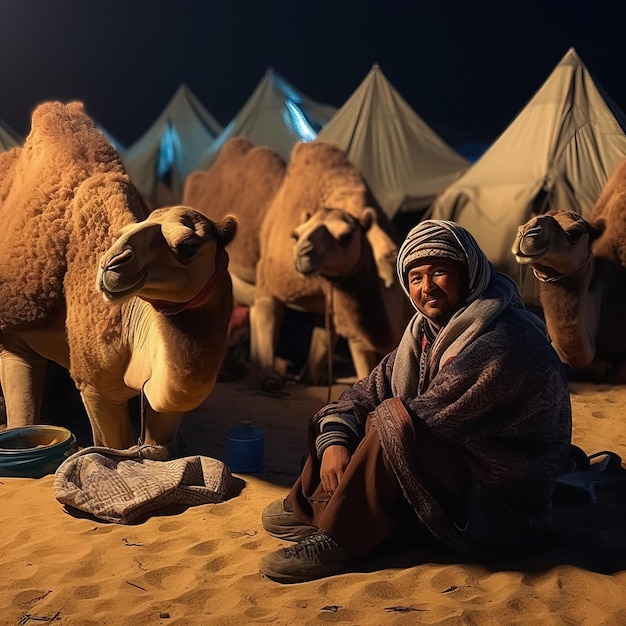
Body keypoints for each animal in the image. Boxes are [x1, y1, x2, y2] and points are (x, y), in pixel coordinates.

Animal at [0, 100, 235, 446]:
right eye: (127, 232)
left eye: (188, 245)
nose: (111, 266)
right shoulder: (97, 386)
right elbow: (112, 445)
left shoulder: (159, 396)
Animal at [183, 139, 412, 388]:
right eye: (295, 235)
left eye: (346, 236)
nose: (303, 256)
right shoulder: (270, 286)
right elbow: (269, 313)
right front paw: (268, 380)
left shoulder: (334, 302)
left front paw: (312, 380)